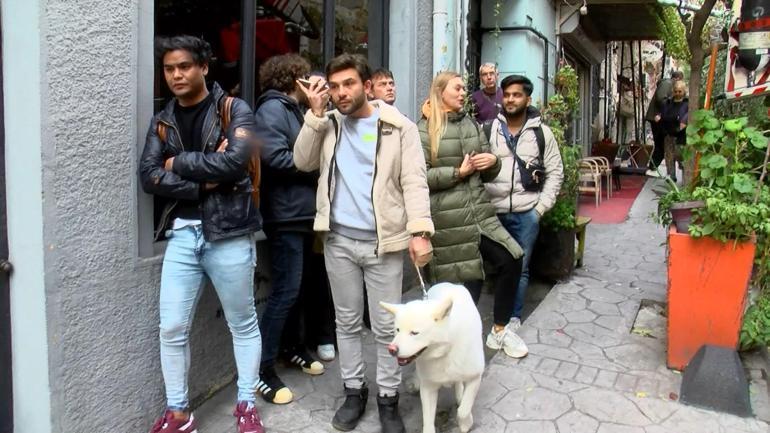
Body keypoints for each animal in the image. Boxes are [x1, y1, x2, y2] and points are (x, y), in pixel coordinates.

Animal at [380, 282, 484, 432]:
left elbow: (464, 410)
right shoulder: (428, 387)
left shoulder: (475, 377)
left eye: (414, 333)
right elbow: (428, 420)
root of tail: (449, 284)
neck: (445, 351)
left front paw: (466, 423)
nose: (392, 349)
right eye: (397, 330)